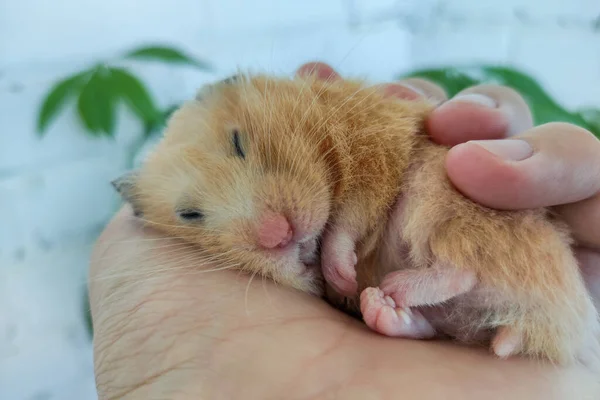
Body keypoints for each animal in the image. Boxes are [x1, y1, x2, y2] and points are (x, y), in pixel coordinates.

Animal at [113, 72, 600, 366]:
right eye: (189, 214)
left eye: (238, 142)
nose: (279, 234)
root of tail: (567, 325)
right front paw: (331, 277)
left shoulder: (376, 149)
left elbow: (348, 219)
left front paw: (341, 271)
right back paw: (385, 307)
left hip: (444, 199)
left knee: (462, 267)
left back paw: (393, 286)